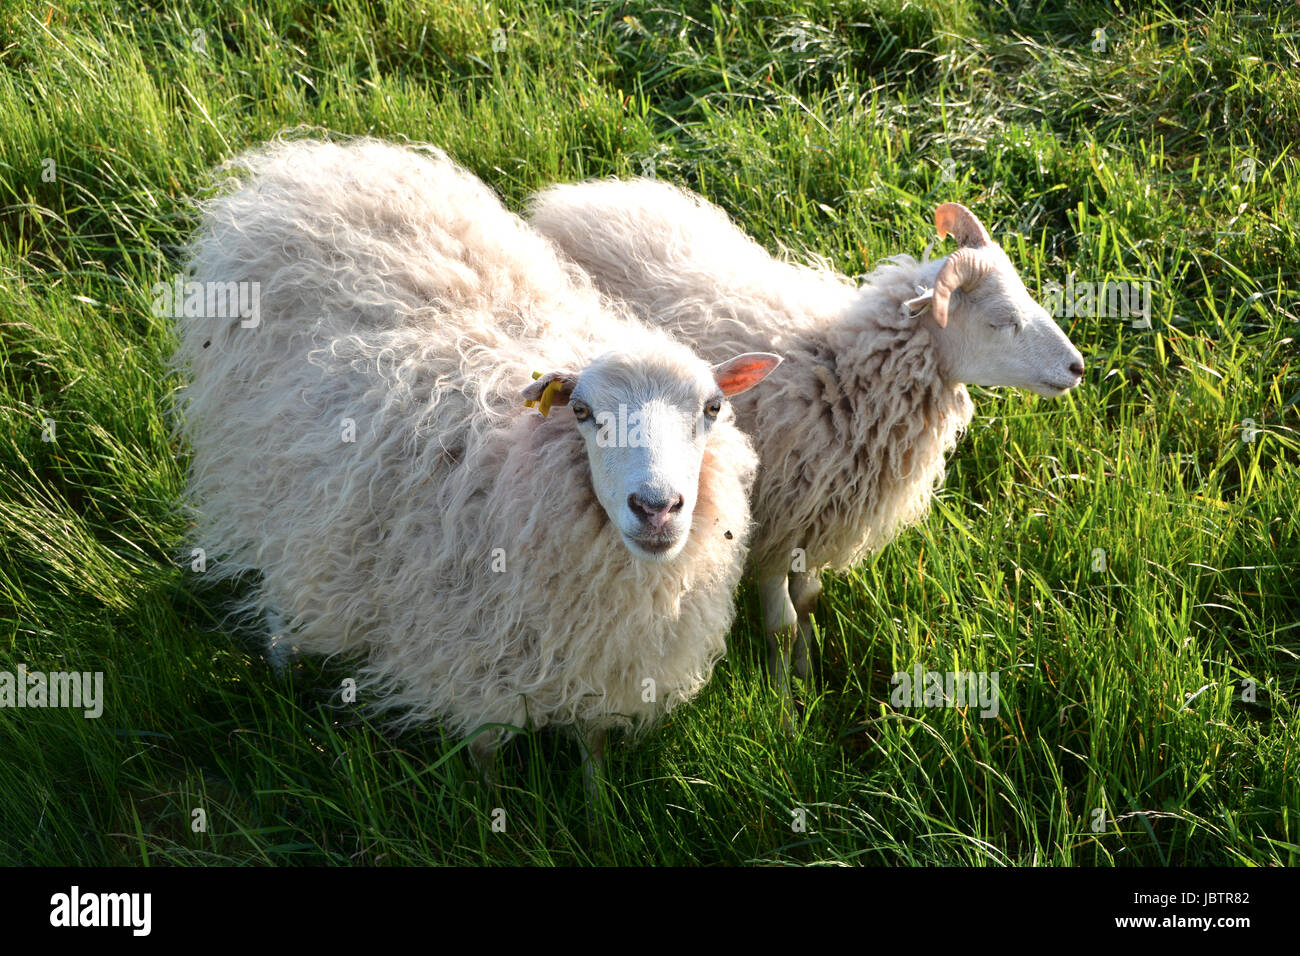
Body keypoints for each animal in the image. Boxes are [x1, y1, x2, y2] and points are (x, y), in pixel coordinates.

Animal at [172, 138, 780, 780]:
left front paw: (596, 801)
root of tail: (309, 163)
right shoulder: (470, 657)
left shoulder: (602, 662)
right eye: (582, 411)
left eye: (713, 407)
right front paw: (491, 806)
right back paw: (283, 667)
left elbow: (592, 747)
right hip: (262, 475)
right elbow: (486, 753)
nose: (657, 508)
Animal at [527, 183, 1086, 712]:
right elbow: (782, 623)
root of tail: (569, 196)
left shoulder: (818, 516)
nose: (1077, 367)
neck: (840, 376)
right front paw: (785, 708)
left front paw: (809, 676)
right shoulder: (771, 526)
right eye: (1001, 320)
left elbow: (811, 602)